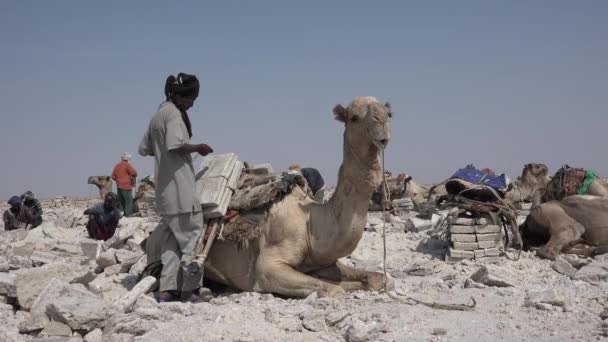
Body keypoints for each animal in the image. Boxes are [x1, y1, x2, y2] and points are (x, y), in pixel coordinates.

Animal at [150, 96, 394, 296]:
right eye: (354, 117)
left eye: (388, 112)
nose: (383, 120)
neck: (310, 224)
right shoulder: (268, 267)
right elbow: (333, 289)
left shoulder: (323, 261)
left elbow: (377, 278)